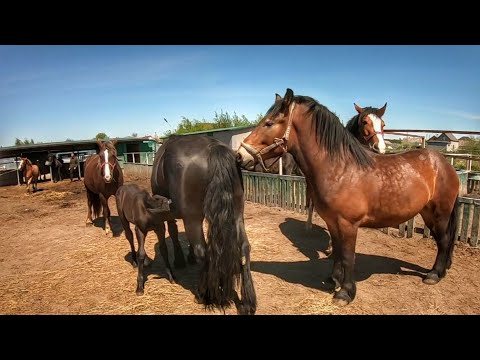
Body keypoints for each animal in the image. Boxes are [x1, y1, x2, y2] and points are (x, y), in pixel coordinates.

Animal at [152, 135, 256, 316]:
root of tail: (213, 147)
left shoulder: (174, 214)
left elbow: (173, 231)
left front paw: (180, 260)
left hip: (192, 217)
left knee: (202, 250)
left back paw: (205, 295)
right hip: (237, 214)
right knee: (243, 248)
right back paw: (247, 302)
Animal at [238, 88, 460, 306]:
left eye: (269, 123)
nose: (240, 155)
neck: (340, 169)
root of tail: (445, 164)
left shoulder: (348, 224)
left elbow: (347, 257)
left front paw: (345, 293)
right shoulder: (332, 221)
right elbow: (337, 252)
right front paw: (333, 280)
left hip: (440, 214)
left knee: (444, 240)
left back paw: (434, 275)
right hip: (428, 213)